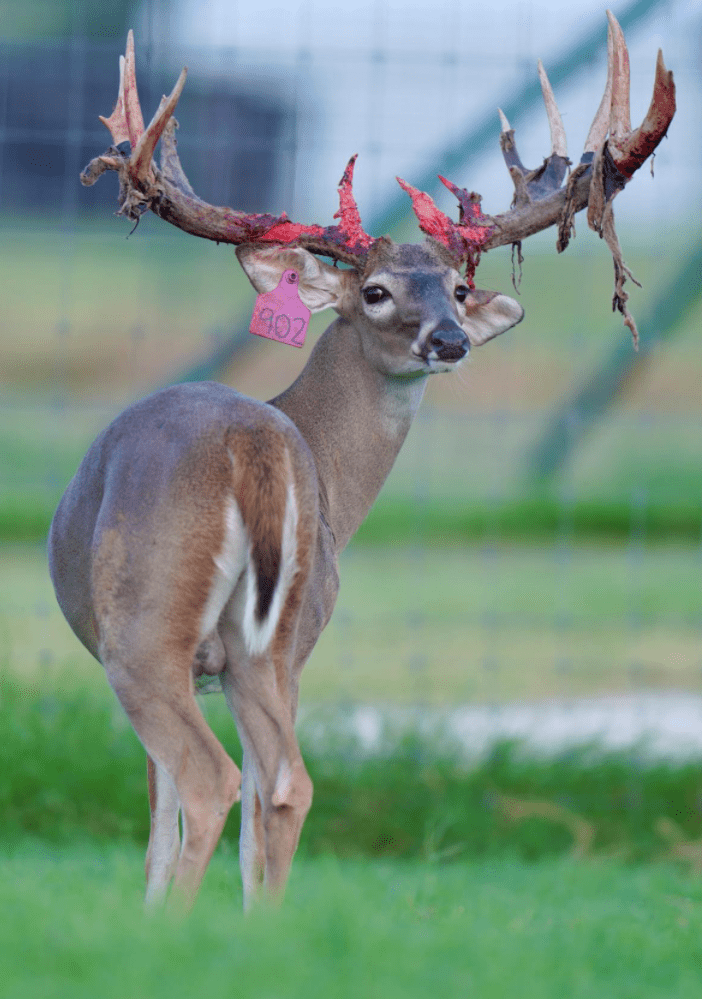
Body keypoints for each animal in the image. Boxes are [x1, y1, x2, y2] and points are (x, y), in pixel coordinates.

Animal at [48, 13, 674, 913]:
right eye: (376, 291)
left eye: (457, 288)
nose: (450, 339)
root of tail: (253, 447)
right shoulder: (296, 647)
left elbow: (158, 825)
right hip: (273, 636)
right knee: (282, 785)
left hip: (144, 621)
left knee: (213, 780)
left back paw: (180, 930)